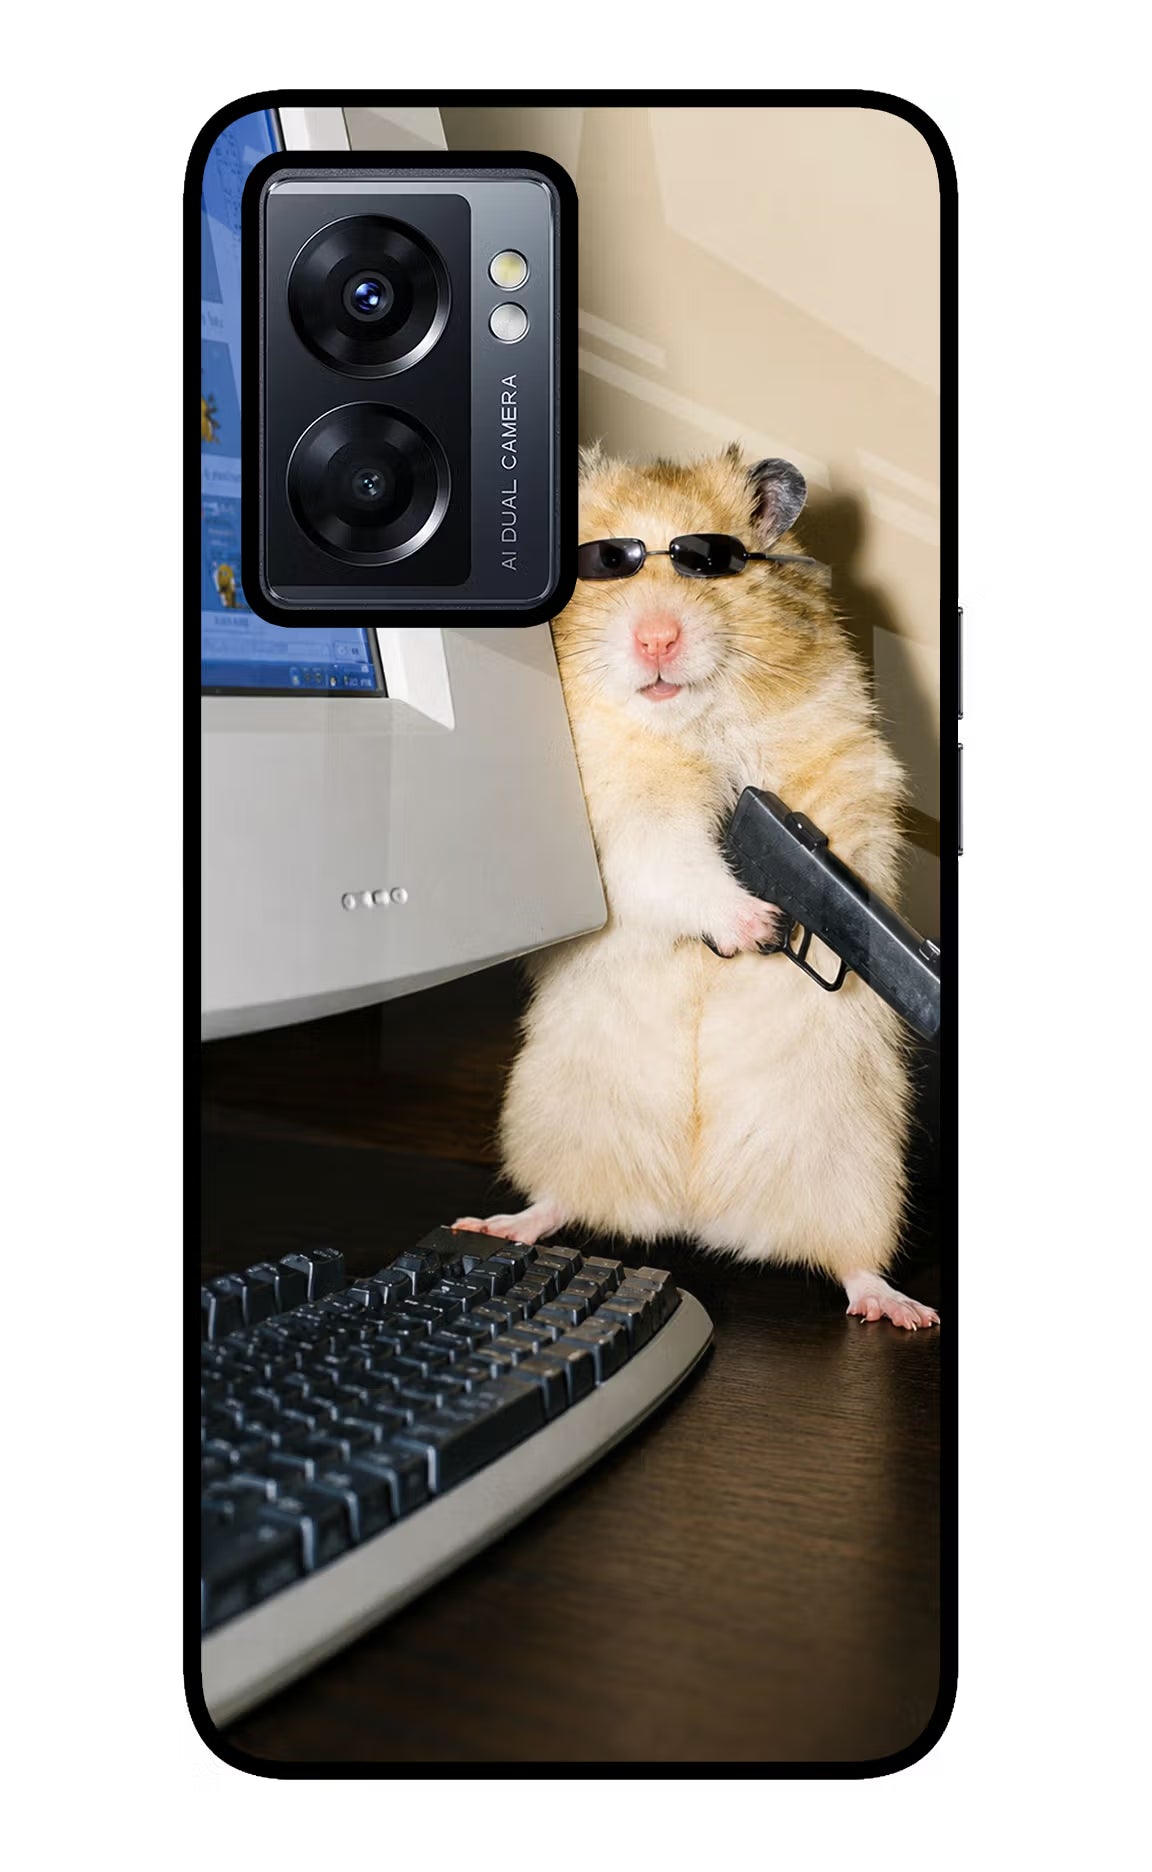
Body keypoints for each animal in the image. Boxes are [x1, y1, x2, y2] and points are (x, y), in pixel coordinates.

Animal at [457, 444, 938, 1330]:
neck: (689, 724)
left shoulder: (843, 764)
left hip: (856, 1169)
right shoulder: (620, 820)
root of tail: (694, 1212)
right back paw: (498, 1223)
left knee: (852, 1261)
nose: (657, 639)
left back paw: (901, 1309)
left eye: (709, 562)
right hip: (556, 1119)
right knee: (560, 1200)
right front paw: (756, 925)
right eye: (603, 564)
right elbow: (675, 862)